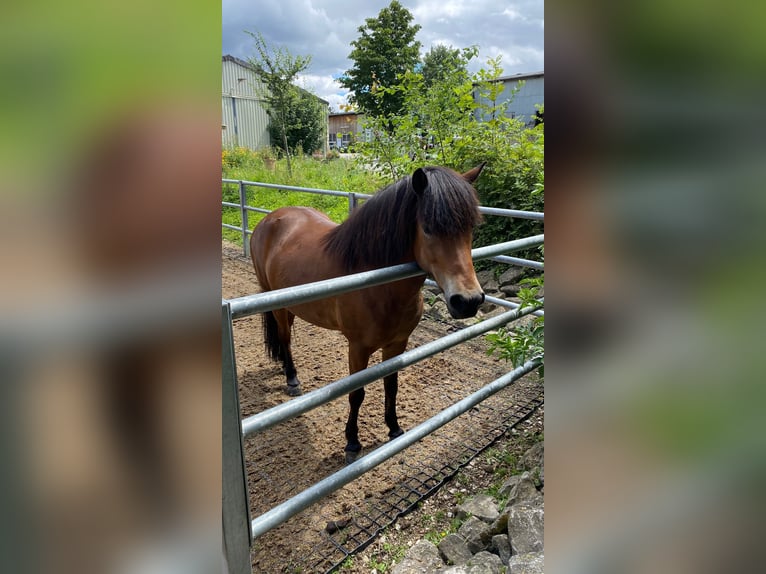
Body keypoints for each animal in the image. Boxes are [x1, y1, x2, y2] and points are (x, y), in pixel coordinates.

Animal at [252, 163, 486, 464]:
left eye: (471, 227)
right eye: (428, 228)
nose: (468, 301)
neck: (376, 283)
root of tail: (270, 219)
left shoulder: (397, 344)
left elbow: (391, 384)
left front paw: (394, 428)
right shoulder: (358, 348)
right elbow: (357, 393)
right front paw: (352, 442)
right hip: (277, 305)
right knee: (285, 338)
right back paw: (292, 379)